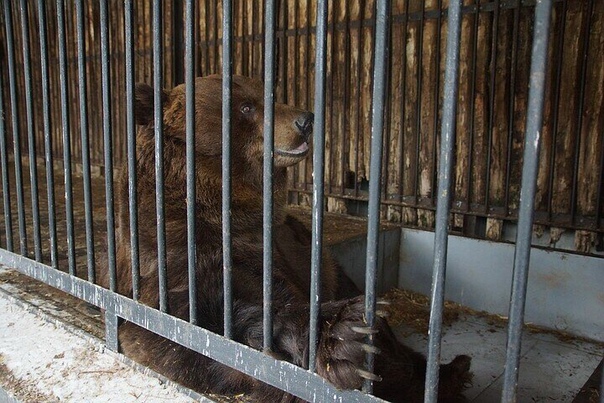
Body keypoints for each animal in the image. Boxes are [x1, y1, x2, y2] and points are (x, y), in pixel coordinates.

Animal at [102, 74, 472, 402]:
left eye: (268, 93)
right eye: (246, 107)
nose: (306, 119)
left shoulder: (269, 249)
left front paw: (352, 337)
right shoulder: (168, 253)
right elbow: (187, 331)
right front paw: (344, 339)